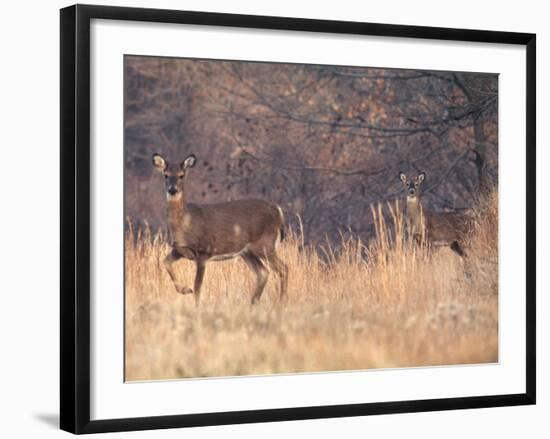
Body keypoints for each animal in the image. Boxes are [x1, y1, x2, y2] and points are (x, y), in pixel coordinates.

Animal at [151, 154, 288, 306]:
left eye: (181, 175)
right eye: (166, 175)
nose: (172, 189)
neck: (185, 223)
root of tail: (278, 210)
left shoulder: (204, 251)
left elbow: (197, 286)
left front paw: (196, 305)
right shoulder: (179, 250)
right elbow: (165, 262)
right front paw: (185, 290)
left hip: (265, 244)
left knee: (283, 268)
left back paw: (281, 302)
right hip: (247, 251)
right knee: (263, 272)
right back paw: (253, 303)